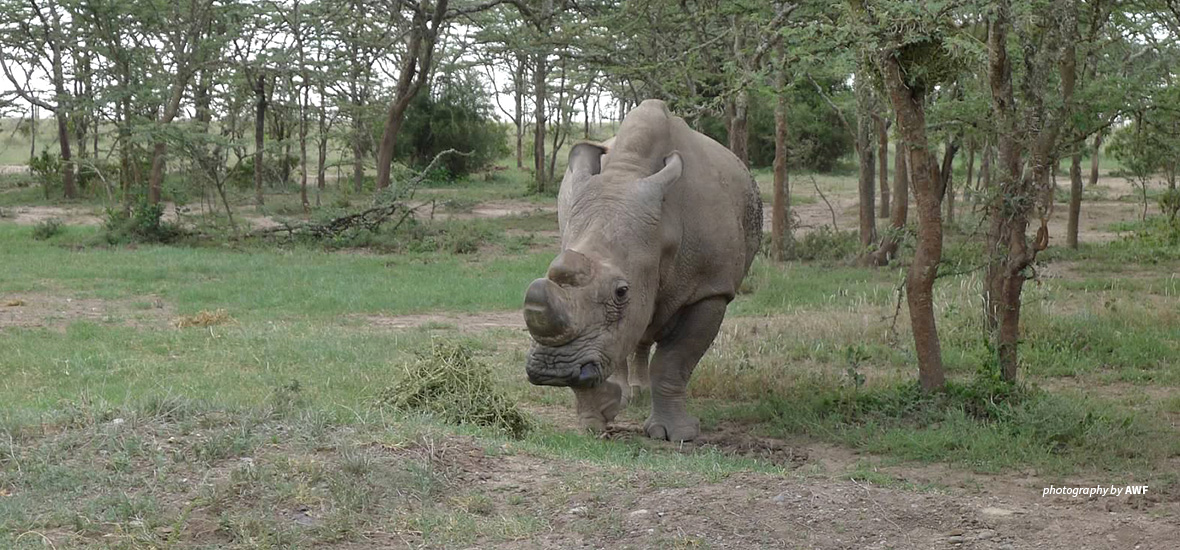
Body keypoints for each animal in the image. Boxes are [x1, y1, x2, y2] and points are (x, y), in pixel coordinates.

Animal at [523, 99, 762, 441]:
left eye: (622, 292)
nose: (551, 370)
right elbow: (606, 339)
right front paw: (595, 421)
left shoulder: (711, 289)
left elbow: (673, 361)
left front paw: (678, 435)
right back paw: (629, 396)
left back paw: (640, 394)